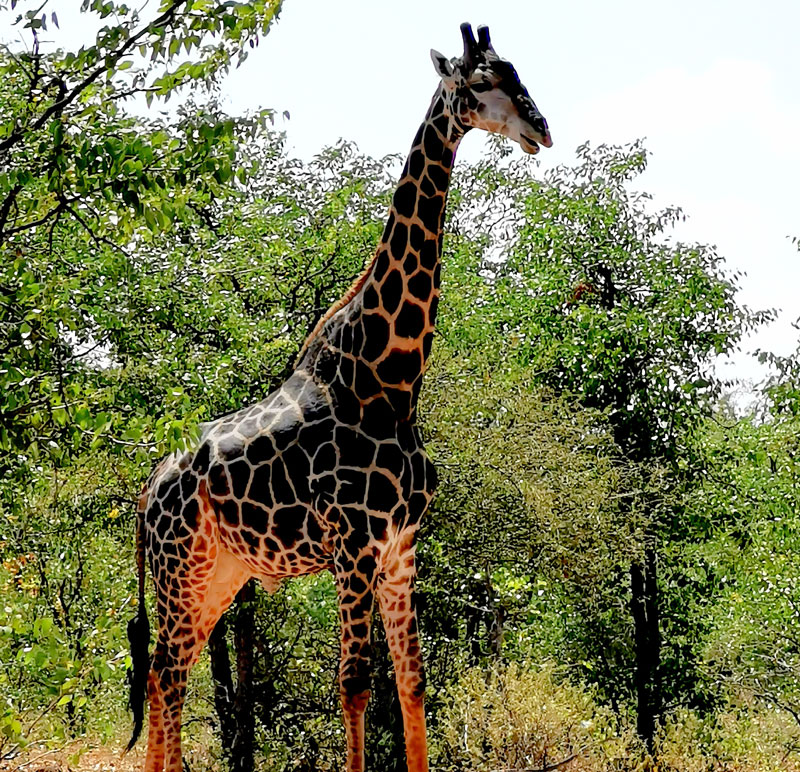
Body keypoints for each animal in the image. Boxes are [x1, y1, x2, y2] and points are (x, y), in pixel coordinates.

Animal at [126, 22, 551, 772]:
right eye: (479, 83)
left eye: (517, 73)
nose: (542, 128)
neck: (392, 377)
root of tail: (148, 490)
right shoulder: (352, 542)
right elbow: (354, 685)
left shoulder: (402, 544)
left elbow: (411, 682)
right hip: (182, 569)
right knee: (168, 674)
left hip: (217, 573)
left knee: (164, 675)